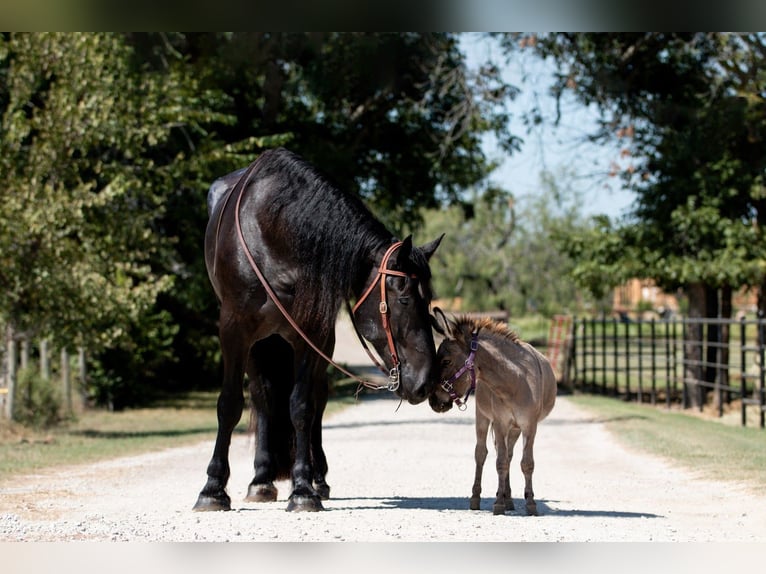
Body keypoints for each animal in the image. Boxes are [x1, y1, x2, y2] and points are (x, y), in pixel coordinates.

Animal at [194, 147, 444, 512]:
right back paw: (261, 480)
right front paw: (212, 489)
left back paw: (317, 479)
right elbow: (229, 405)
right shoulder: (234, 330)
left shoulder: (310, 334)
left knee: (316, 400)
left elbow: (302, 407)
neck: (272, 233)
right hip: (260, 344)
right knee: (263, 397)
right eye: (404, 300)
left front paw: (303, 489)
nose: (426, 381)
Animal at [432, 310, 560, 516]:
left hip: (515, 429)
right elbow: (500, 463)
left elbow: (526, 463)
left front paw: (530, 503)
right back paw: (477, 498)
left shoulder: (529, 426)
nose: (433, 401)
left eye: (446, 361)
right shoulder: (500, 423)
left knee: (509, 455)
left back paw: (508, 499)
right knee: (481, 454)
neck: (515, 381)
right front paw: (498, 503)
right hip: (483, 419)